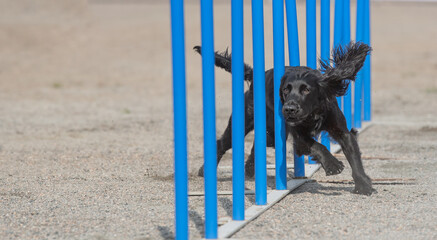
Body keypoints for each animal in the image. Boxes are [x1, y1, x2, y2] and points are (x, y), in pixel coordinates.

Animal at [195, 41, 374, 195]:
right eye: (285, 90)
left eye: (306, 90)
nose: (289, 109)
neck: (313, 113)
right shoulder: (299, 136)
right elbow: (318, 146)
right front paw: (332, 164)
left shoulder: (342, 131)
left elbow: (354, 158)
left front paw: (363, 185)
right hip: (244, 121)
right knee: (222, 143)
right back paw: (205, 170)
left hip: (272, 134)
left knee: (256, 146)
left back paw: (250, 169)